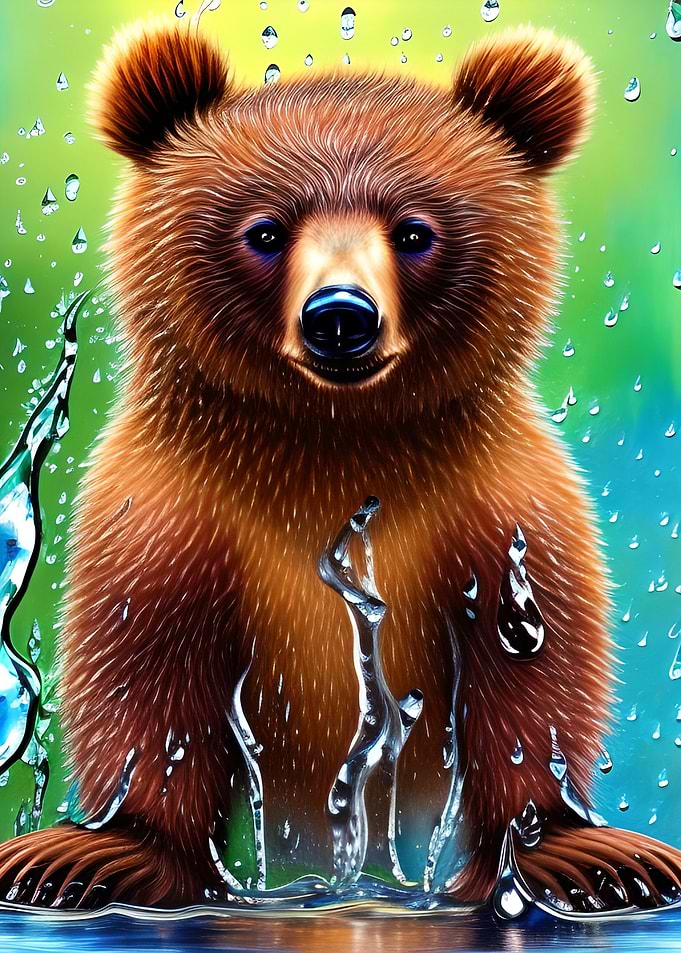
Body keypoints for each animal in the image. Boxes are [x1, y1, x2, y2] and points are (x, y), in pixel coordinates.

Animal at [0, 19, 679, 913]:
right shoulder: (169, 513)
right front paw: (94, 853)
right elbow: (146, 676)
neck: (331, 439)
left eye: (414, 230)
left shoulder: (500, 512)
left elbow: (532, 673)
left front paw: (578, 854)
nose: (340, 315)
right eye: (265, 230)